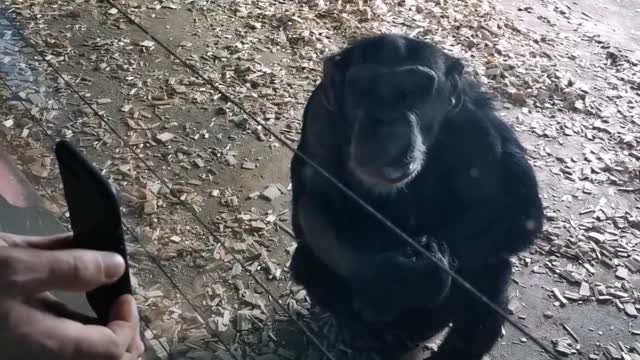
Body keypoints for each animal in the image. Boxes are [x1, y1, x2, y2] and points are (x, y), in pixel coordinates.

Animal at [290, 34, 544, 360]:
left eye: (415, 91)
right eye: (365, 89)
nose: (389, 122)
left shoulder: (478, 126)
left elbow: (514, 210)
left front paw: (418, 272)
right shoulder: (321, 116)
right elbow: (316, 201)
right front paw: (392, 276)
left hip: (422, 328)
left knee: (489, 279)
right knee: (306, 261)